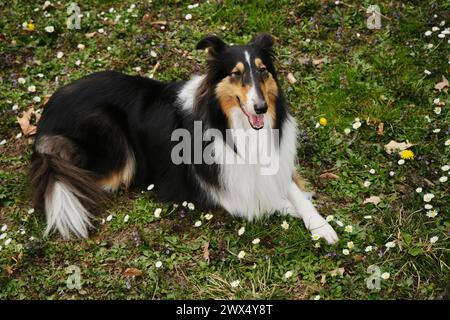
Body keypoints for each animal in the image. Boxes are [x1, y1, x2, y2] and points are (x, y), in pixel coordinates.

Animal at [29, 34, 338, 242]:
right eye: (236, 74)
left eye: (263, 71)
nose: (261, 108)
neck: (233, 126)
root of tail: (46, 114)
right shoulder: (231, 192)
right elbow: (272, 199)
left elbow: (293, 192)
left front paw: (323, 226)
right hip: (114, 148)